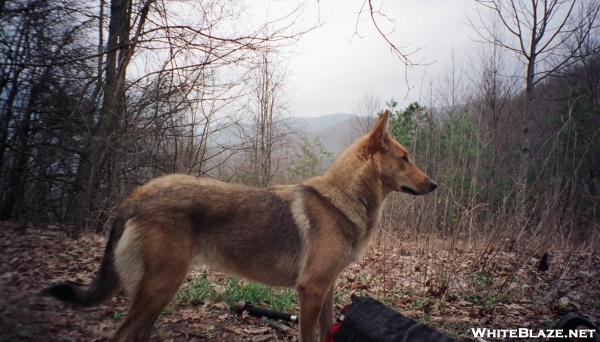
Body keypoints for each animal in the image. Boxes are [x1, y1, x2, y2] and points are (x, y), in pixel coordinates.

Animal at [45, 111, 436, 340]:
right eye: (406, 158)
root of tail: (137, 195)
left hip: (157, 294)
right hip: (159, 288)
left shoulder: (326, 289)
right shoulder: (310, 291)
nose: (435, 185)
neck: (343, 199)